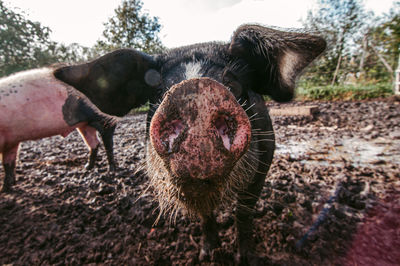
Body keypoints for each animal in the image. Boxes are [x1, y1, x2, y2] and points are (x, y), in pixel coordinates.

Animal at [54, 25, 326, 264]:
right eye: (158, 91)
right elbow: (206, 217)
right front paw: (206, 256)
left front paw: (245, 259)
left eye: (233, 83)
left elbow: (244, 213)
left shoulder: (263, 167)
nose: (195, 89)